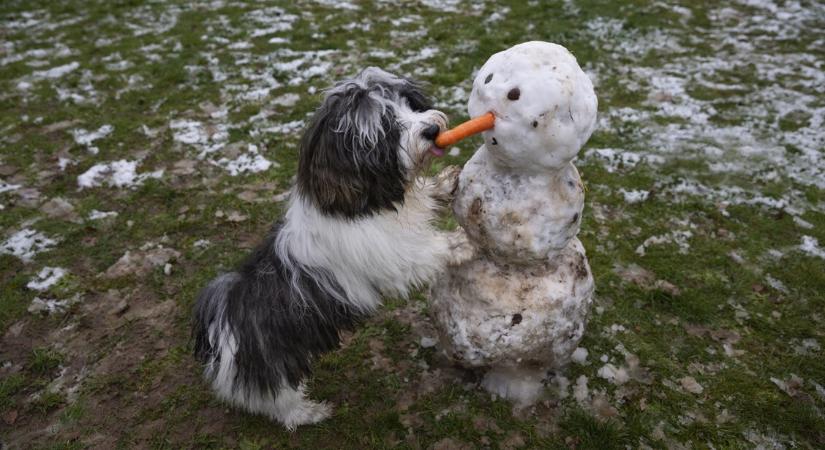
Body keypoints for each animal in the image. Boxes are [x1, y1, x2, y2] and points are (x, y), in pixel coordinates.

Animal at [190, 67, 466, 428]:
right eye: (387, 126)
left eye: (409, 103)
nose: (432, 130)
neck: (359, 204)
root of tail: (224, 321)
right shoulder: (392, 257)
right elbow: (427, 251)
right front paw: (463, 242)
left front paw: (443, 185)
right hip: (277, 369)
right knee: (276, 402)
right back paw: (308, 413)